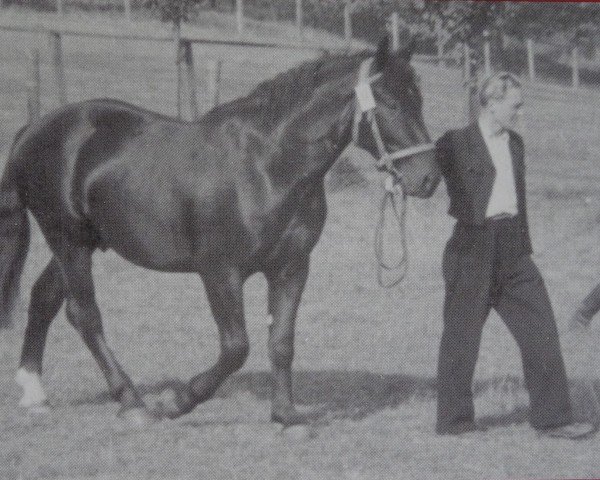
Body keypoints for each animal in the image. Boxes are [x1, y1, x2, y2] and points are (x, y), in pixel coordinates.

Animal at [0, 38, 440, 428]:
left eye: (419, 100)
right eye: (392, 103)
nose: (429, 178)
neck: (266, 166)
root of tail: (34, 129)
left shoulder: (291, 268)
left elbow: (281, 343)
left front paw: (286, 416)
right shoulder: (220, 272)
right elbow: (236, 348)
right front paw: (176, 402)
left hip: (83, 243)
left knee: (45, 298)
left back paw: (34, 392)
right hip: (69, 241)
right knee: (84, 314)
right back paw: (133, 402)